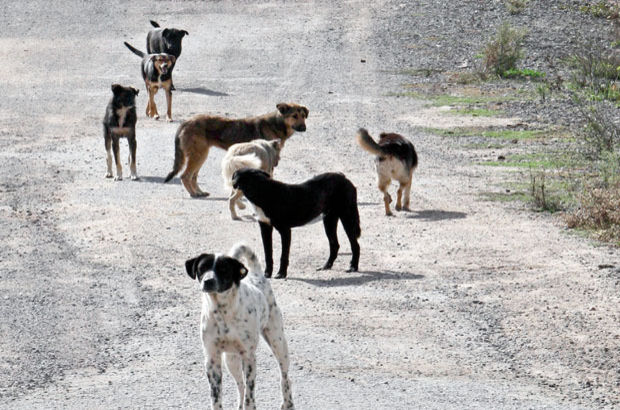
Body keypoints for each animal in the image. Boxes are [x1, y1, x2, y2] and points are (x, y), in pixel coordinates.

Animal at [165, 103, 310, 198]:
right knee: (185, 176)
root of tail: (185, 122)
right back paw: (193, 193)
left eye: (303, 116)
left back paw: (199, 192)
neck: (276, 124)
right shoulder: (269, 160)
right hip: (199, 155)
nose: (304, 128)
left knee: (193, 177)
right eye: (294, 115)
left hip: (201, 156)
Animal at [185, 243, 294, 410]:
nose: (208, 281)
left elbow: (250, 395)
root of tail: (256, 274)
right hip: (231, 360)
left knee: (285, 377)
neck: (222, 311)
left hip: (278, 343)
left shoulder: (249, 357)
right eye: (202, 268)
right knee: (240, 385)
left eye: (223, 269)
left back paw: (288, 403)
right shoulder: (212, 359)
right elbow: (216, 397)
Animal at [230, 167, 360, 278]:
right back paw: (326, 266)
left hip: (347, 217)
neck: (264, 194)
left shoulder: (285, 230)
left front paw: (281, 274)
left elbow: (283, 255)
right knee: (334, 245)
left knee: (355, 245)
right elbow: (268, 254)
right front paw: (267, 274)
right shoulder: (265, 227)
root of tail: (344, 178)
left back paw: (353, 267)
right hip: (329, 220)